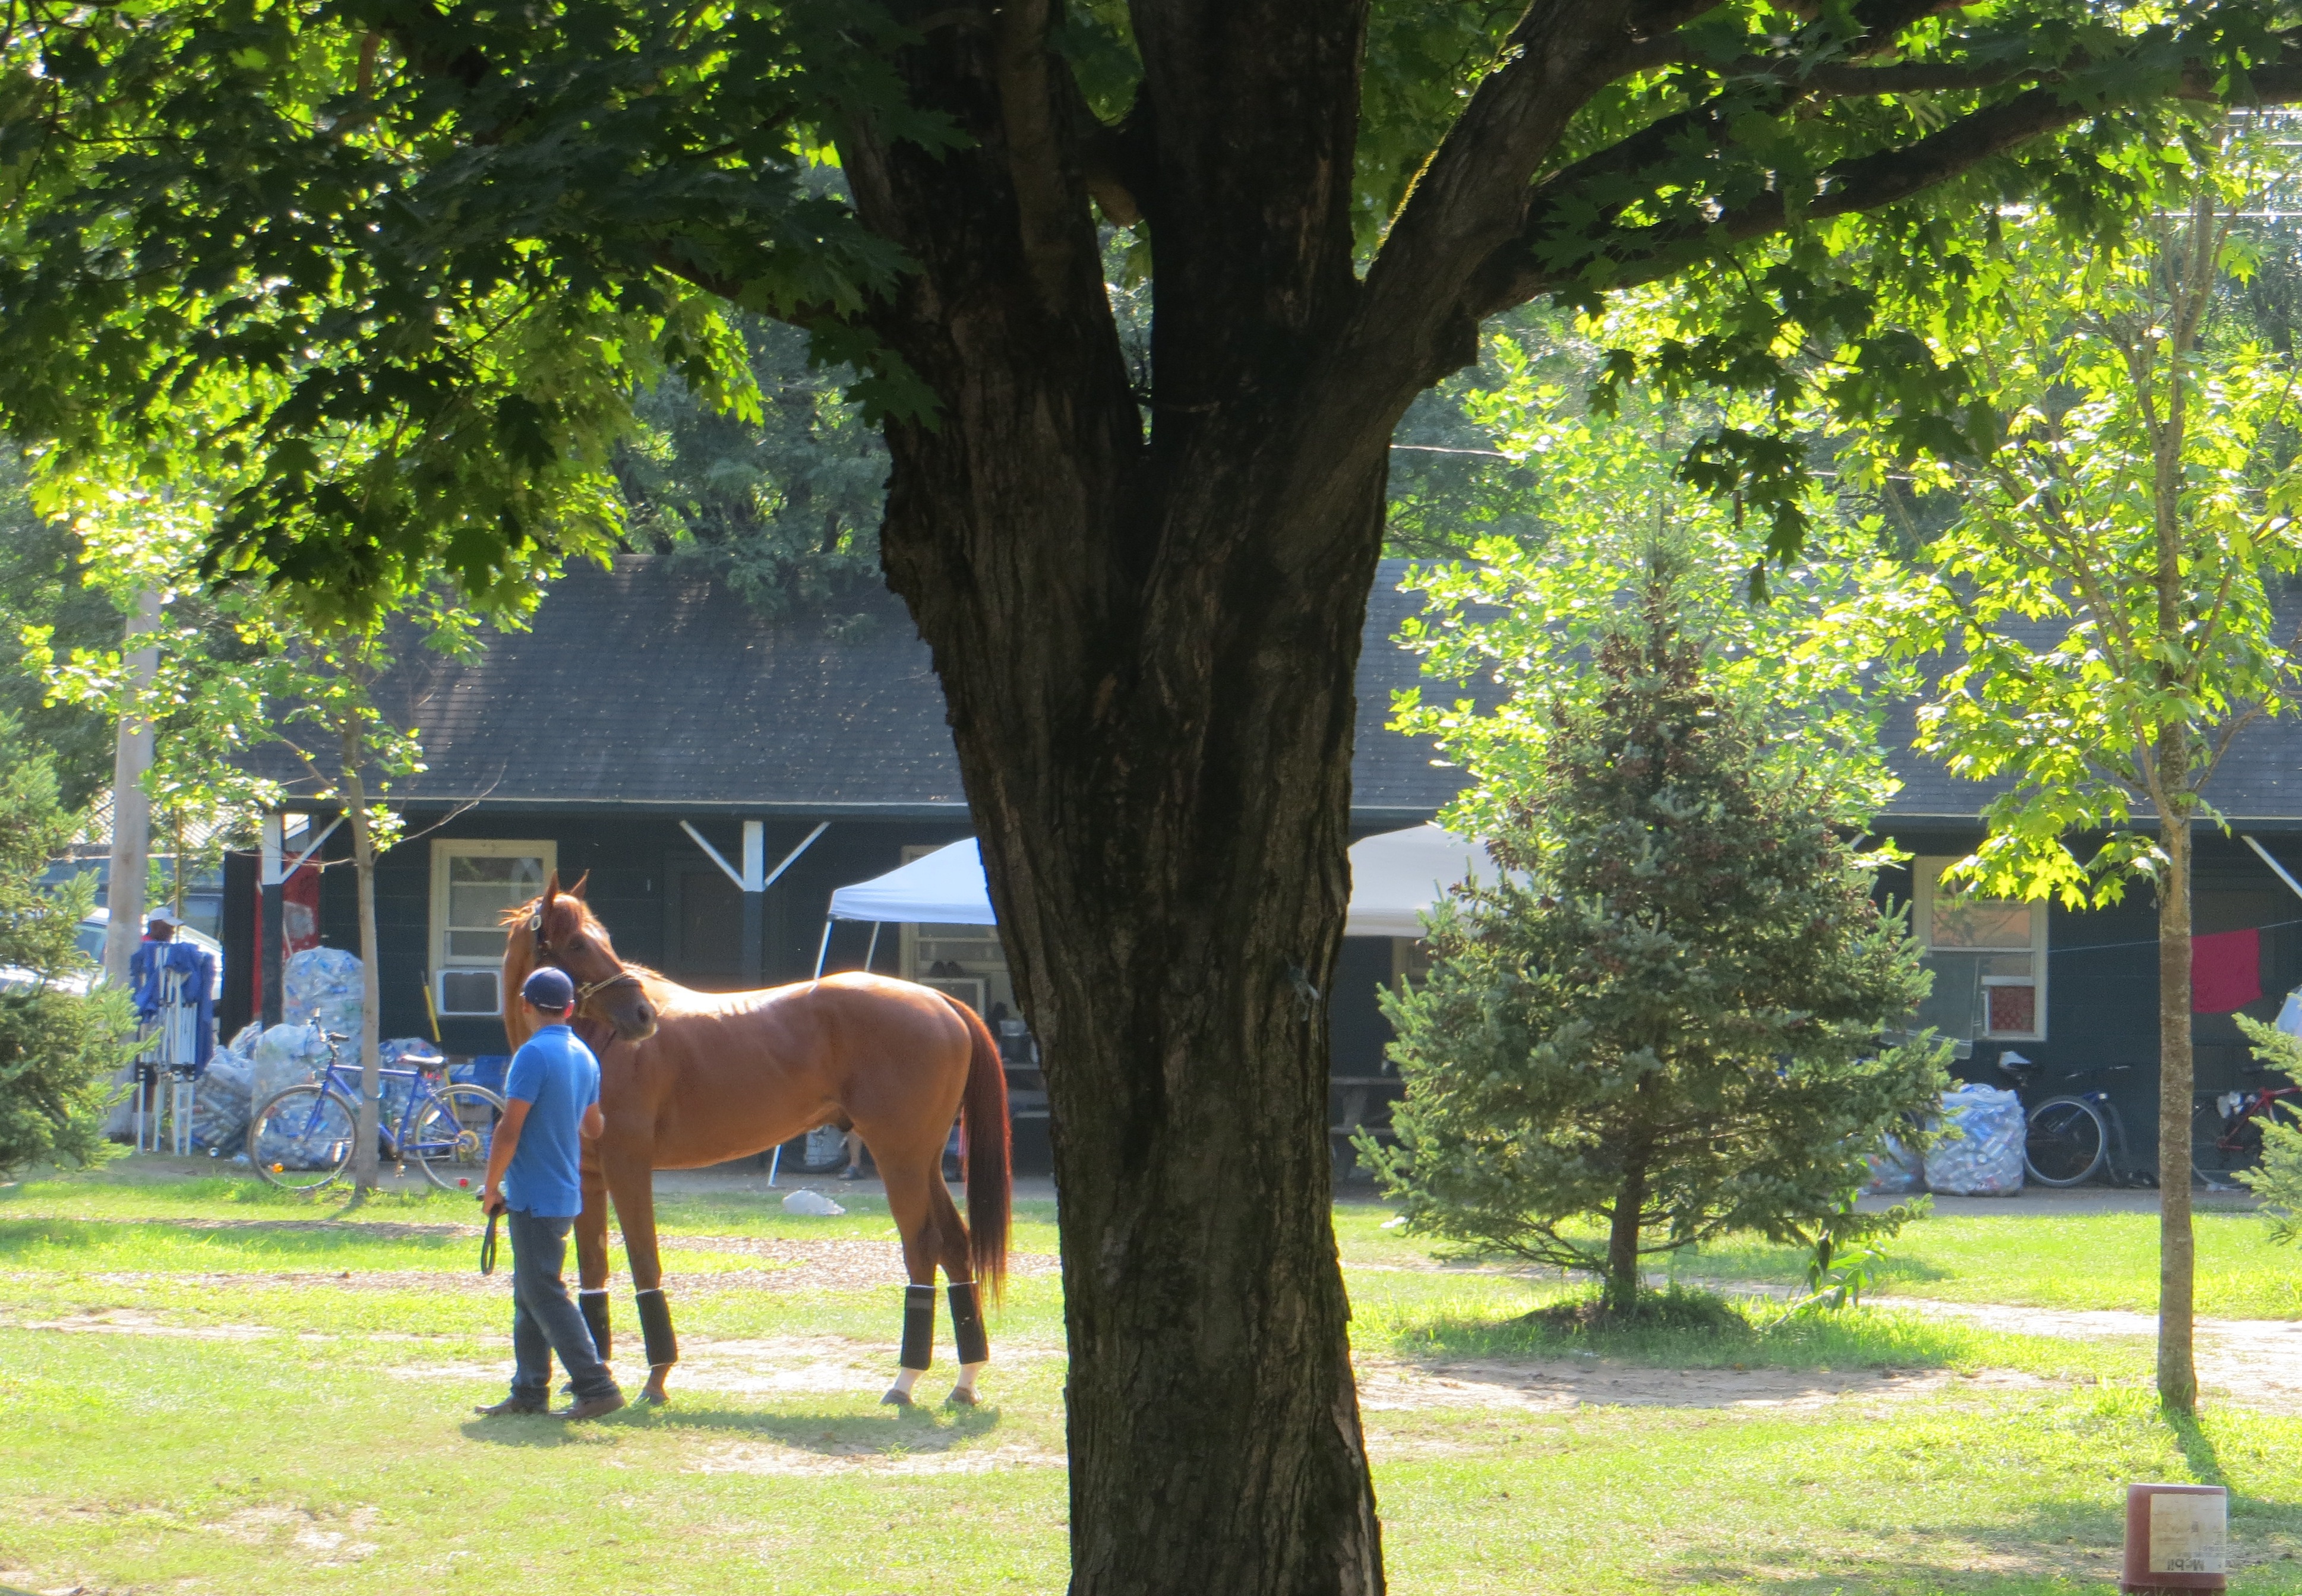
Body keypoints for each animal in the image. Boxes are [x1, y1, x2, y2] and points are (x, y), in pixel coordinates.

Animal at [504, 870, 1008, 1409]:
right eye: (578, 942)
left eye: (604, 940)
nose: (642, 1015)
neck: (594, 1045)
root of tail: (939, 1001)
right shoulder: (589, 1177)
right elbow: (593, 1274)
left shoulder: (628, 1167)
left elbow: (644, 1264)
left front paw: (655, 1380)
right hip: (924, 1162)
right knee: (955, 1246)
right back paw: (965, 1379)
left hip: (901, 1161)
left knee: (922, 1249)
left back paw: (905, 1379)